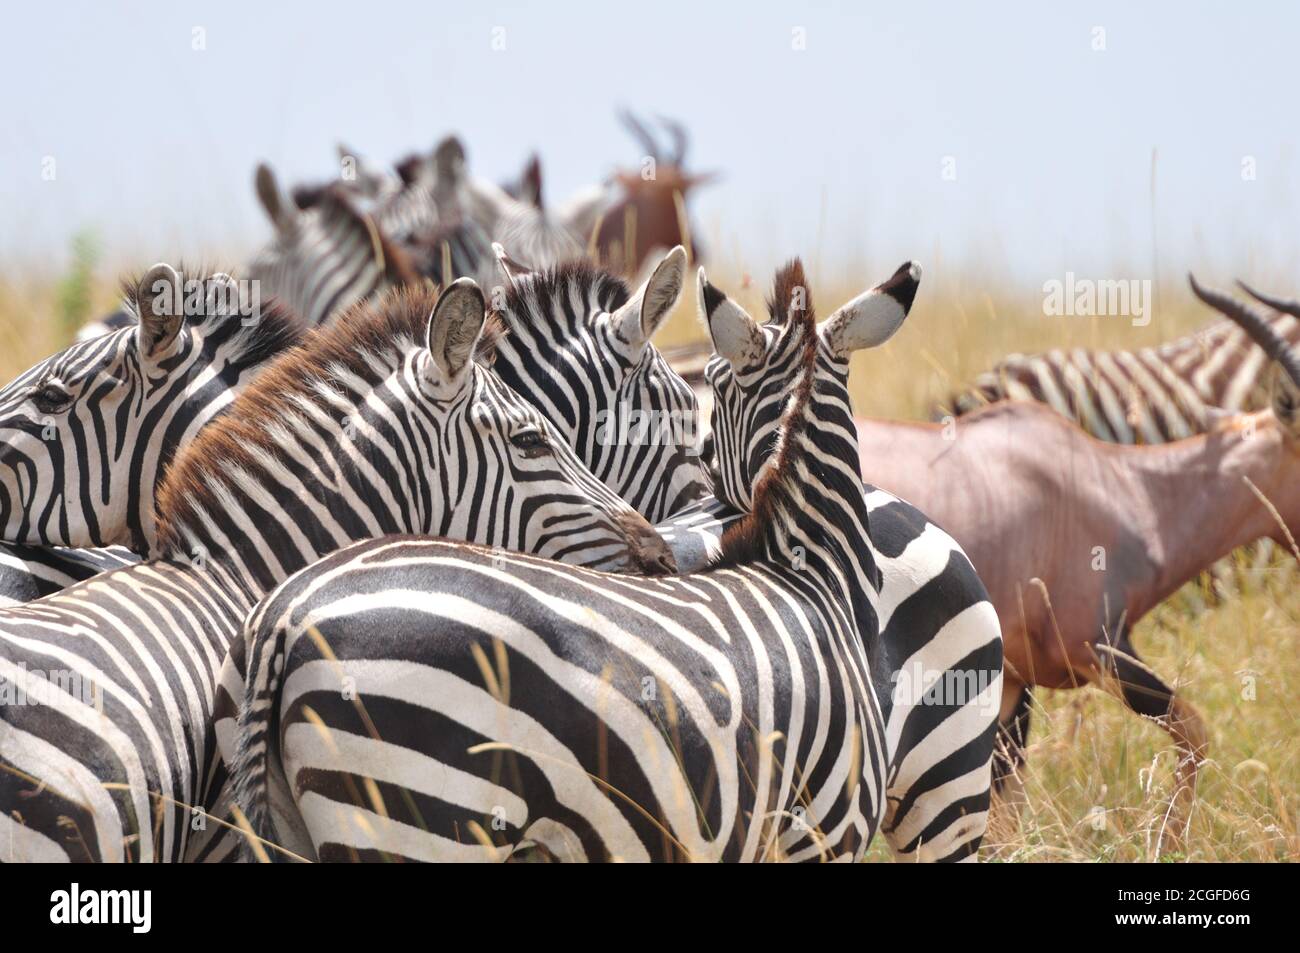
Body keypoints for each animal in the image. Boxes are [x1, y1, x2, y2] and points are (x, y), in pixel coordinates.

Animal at [226, 256, 977, 858]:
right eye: (689, 403)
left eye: (709, 389)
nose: (665, 550)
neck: (811, 560)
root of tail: (286, 616)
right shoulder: (822, 830)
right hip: (423, 812)